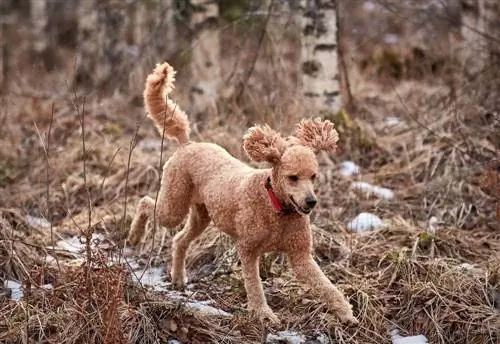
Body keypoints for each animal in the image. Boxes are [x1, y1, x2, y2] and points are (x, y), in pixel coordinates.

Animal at [127, 62, 358, 326]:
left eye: (314, 176)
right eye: (293, 177)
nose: (311, 202)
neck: (276, 207)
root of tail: (189, 144)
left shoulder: (300, 256)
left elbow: (326, 285)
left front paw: (345, 313)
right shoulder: (248, 249)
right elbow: (254, 284)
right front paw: (263, 313)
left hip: (201, 216)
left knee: (179, 240)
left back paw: (177, 277)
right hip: (174, 204)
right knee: (146, 203)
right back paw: (135, 236)